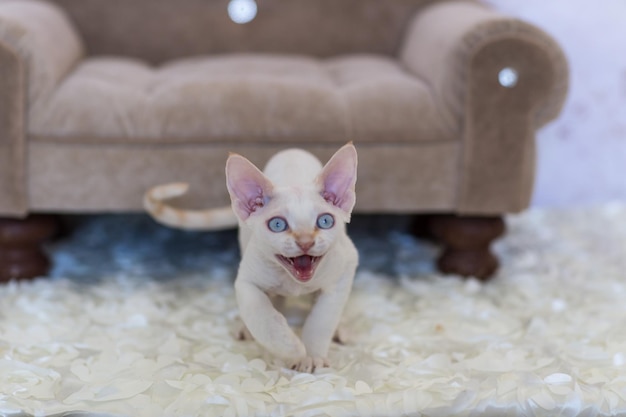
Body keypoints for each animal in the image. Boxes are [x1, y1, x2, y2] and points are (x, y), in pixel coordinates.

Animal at [142, 143, 356, 370]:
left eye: (325, 221)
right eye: (277, 224)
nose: (305, 242)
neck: (294, 282)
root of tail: (292, 150)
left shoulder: (345, 268)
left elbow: (322, 319)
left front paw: (312, 355)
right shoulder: (246, 281)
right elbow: (262, 317)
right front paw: (291, 348)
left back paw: (339, 327)